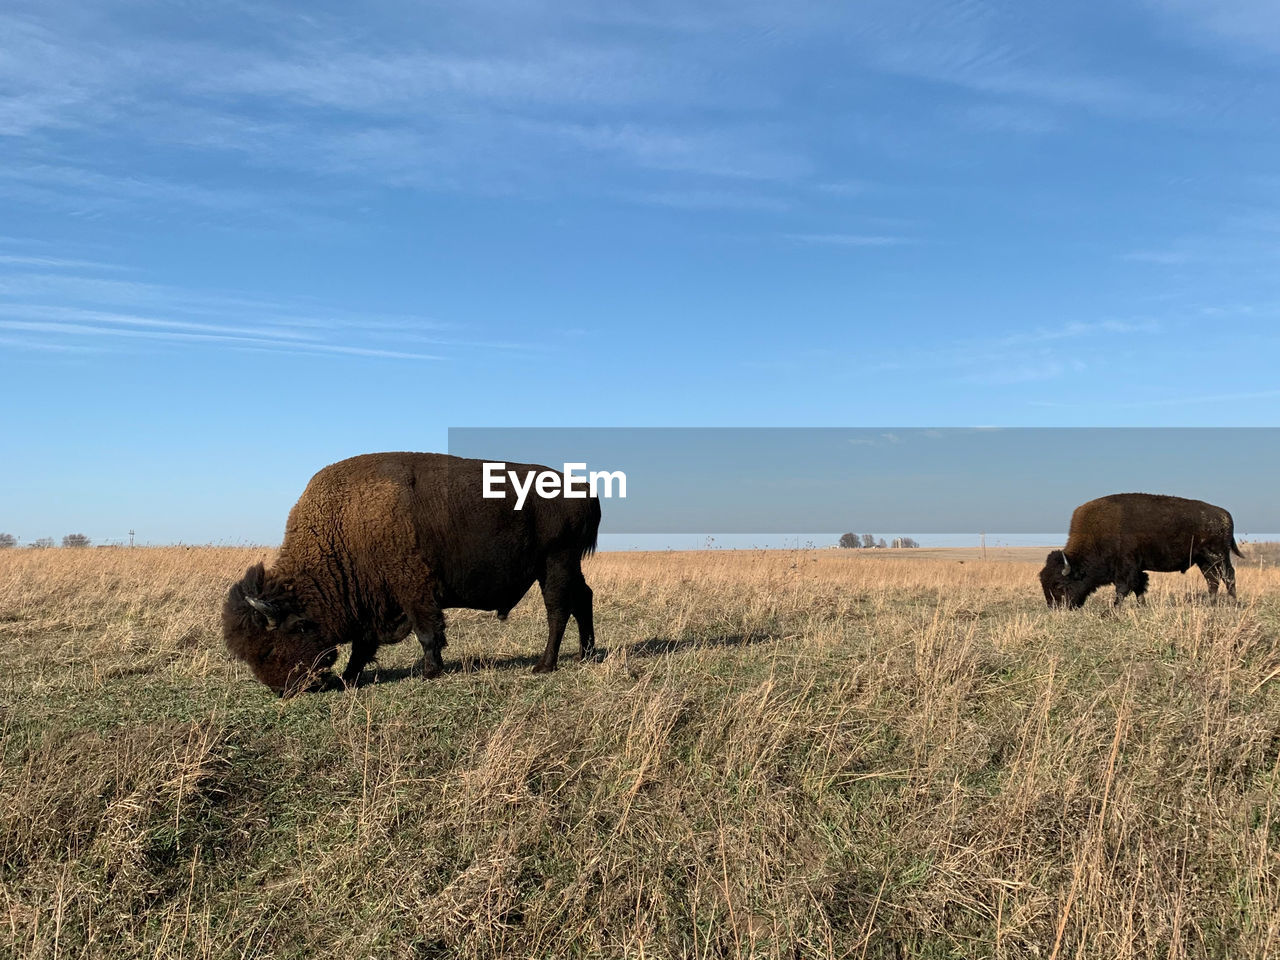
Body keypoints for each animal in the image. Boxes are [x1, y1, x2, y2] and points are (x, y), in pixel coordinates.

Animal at [221, 455, 599, 696]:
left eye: (268, 649)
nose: (283, 690)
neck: (344, 527)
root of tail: (583, 488)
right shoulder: (372, 603)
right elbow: (364, 644)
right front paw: (349, 677)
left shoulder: (414, 590)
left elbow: (427, 632)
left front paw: (429, 671)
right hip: (566, 566)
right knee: (584, 600)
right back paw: (586, 654)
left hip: (555, 563)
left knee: (558, 610)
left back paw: (544, 665)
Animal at [1039, 496, 1239, 609]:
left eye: (1059, 585)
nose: (1055, 608)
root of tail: (1225, 514)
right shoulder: (1136, 569)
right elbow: (1139, 587)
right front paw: (1142, 607)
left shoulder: (1126, 568)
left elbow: (1123, 588)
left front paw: (1111, 611)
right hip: (1203, 560)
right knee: (1212, 579)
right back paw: (1210, 604)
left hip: (1218, 555)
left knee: (1228, 576)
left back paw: (1233, 603)